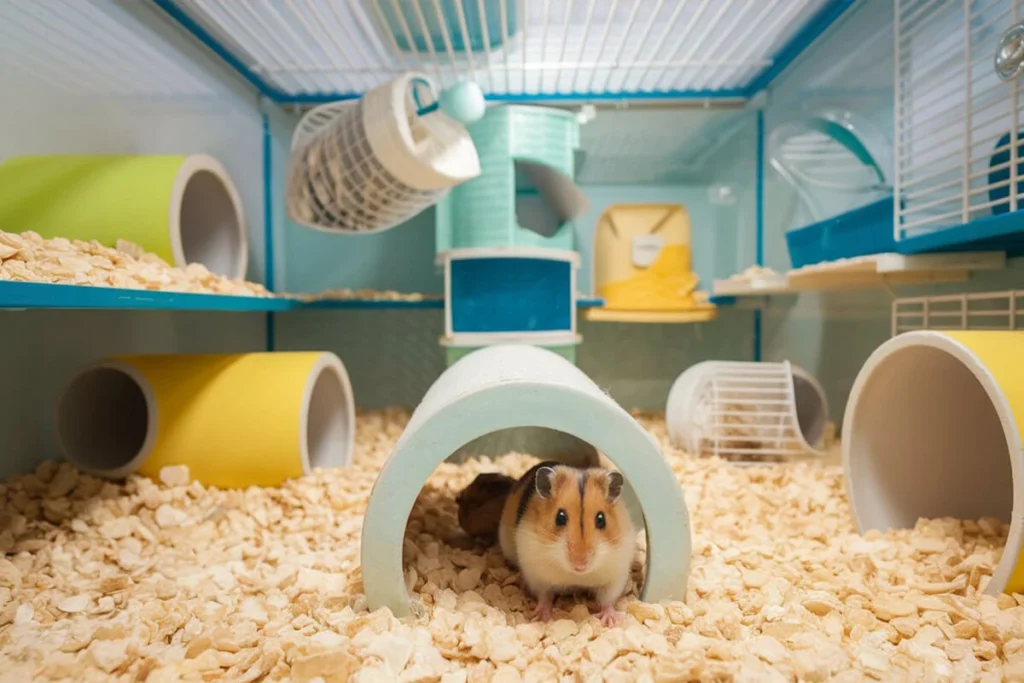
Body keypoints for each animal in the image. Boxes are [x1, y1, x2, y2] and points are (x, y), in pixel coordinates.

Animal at [499, 462, 634, 626]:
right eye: (560, 517)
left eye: (601, 519)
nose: (580, 565)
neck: (577, 576)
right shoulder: (537, 576)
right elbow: (544, 596)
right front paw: (542, 617)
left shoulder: (615, 577)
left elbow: (607, 601)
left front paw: (611, 621)